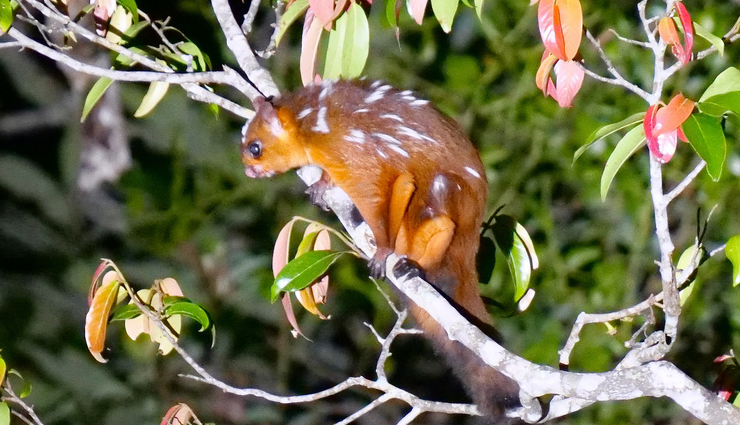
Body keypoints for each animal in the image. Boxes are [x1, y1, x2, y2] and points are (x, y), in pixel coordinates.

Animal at [241, 79, 520, 421]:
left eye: (254, 148)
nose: (247, 171)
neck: (310, 123)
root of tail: (471, 247)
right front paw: (323, 182)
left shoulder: (354, 155)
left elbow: (387, 188)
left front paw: (383, 250)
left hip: (458, 218)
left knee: (439, 193)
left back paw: (418, 266)